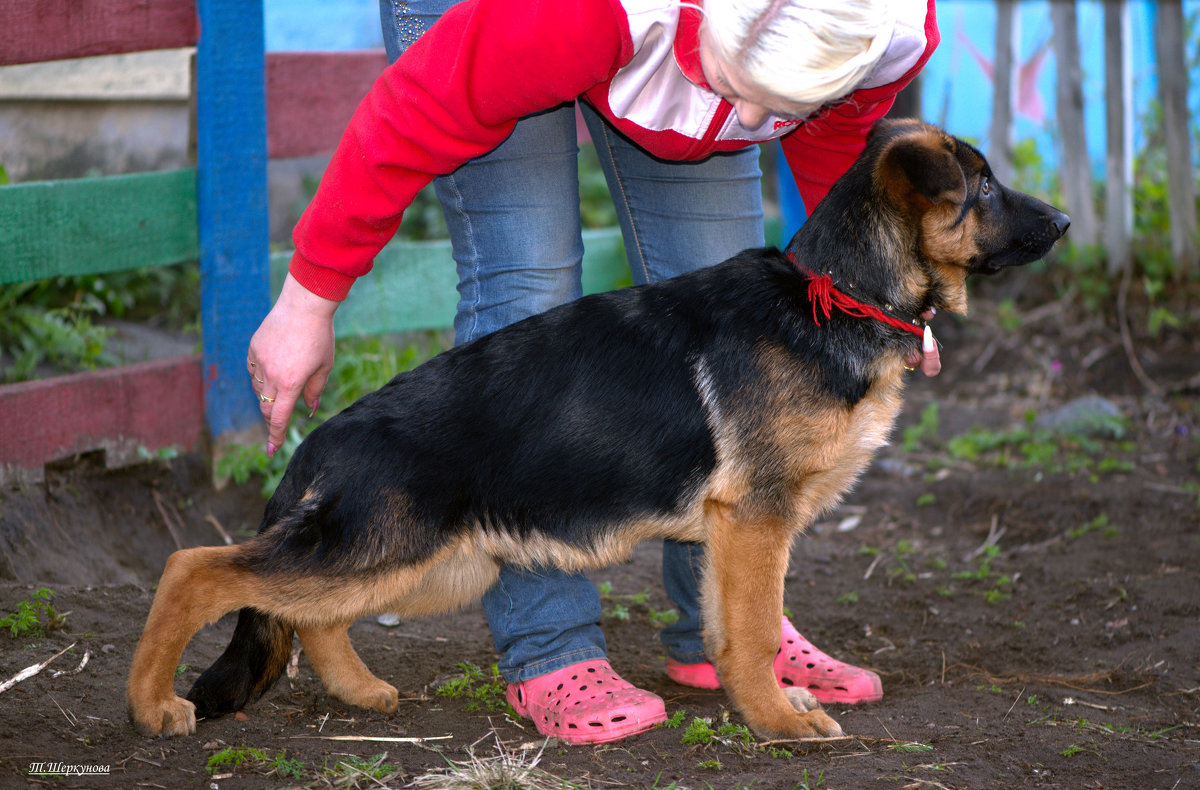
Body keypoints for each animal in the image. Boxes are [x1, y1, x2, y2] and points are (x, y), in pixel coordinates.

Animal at [129, 118, 1070, 739]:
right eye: (984, 186)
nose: (1063, 222)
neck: (835, 293)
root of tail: (322, 435)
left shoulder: (735, 534)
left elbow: (734, 628)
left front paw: (753, 699)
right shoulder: (757, 521)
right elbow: (758, 629)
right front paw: (776, 722)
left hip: (426, 561)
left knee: (314, 616)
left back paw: (360, 694)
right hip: (379, 546)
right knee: (196, 569)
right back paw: (152, 704)